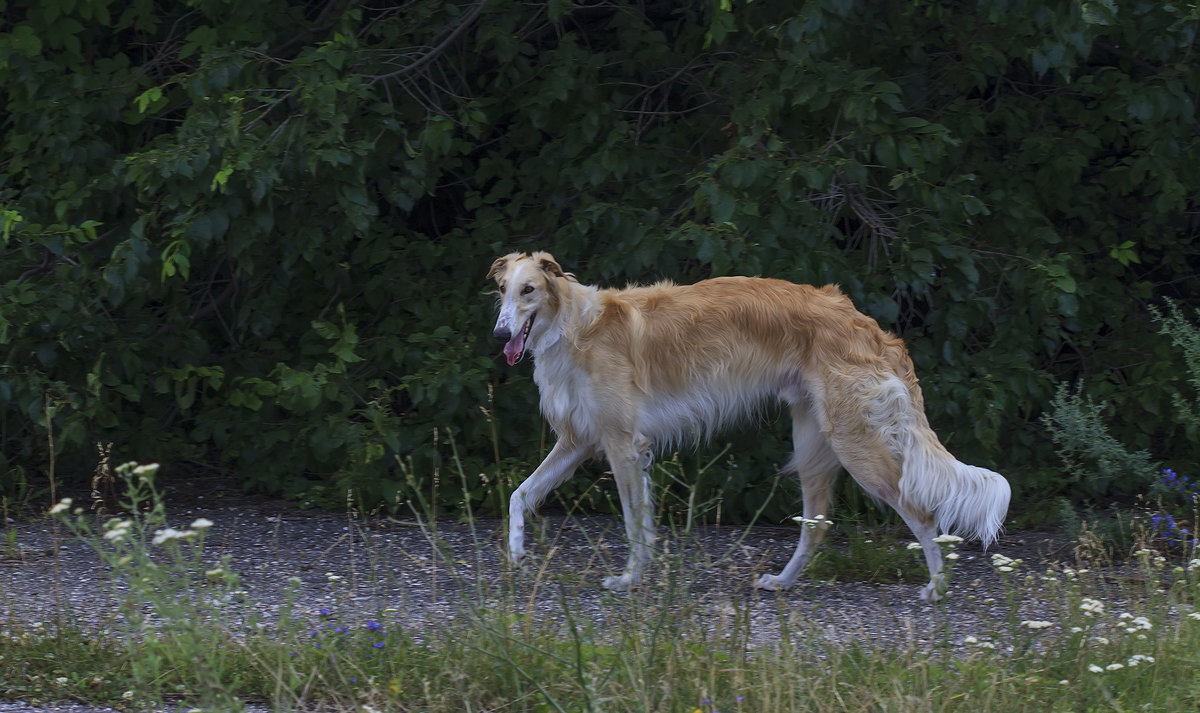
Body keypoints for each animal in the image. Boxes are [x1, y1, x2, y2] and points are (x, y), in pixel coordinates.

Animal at [482, 249, 1008, 600]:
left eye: (530, 290)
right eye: (502, 290)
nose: (501, 334)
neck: (575, 327)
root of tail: (871, 327)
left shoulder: (622, 444)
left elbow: (634, 525)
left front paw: (629, 579)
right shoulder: (580, 442)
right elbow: (518, 496)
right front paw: (516, 556)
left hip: (857, 446)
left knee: (921, 514)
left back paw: (936, 588)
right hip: (814, 445)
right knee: (816, 527)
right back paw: (781, 582)